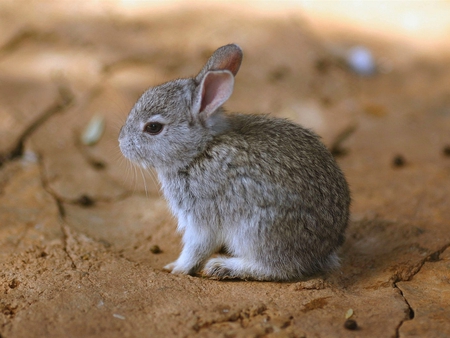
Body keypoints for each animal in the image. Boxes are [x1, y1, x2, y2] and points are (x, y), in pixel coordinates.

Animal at [119, 43, 352, 282]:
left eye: (153, 127)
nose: (121, 143)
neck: (200, 151)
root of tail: (324, 249)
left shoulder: (202, 217)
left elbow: (196, 248)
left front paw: (177, 268)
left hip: (257, 230)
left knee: (276, 268)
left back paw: (222, 267)